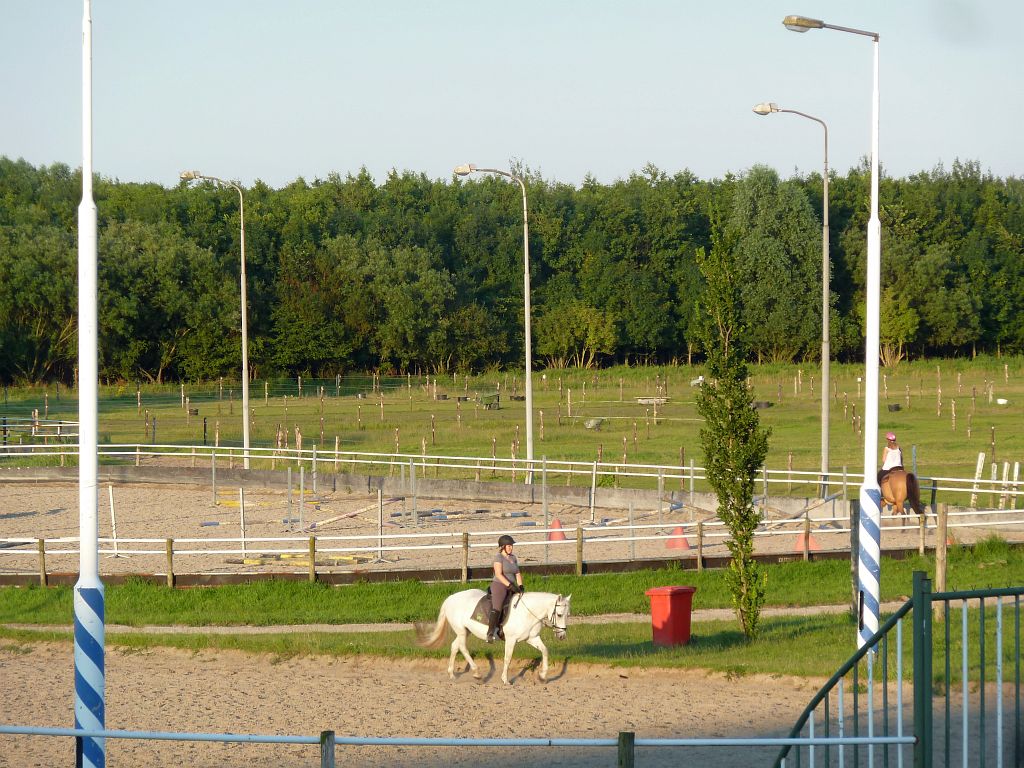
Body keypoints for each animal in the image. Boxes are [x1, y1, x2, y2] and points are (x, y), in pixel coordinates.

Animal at [419, 593, 573, 688]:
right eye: (559, 614)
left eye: (568, 615)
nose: (562, 636)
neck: (527, 612)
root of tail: (450, 598)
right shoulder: (511, 640)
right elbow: (507, 658)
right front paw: (505, 680)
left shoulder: (532, 638)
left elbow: (545, 651)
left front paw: (542, 676)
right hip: (462, 631)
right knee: (462, 647)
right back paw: (477, 673)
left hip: (465, 631)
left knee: (455, 646)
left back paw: (452, 674)